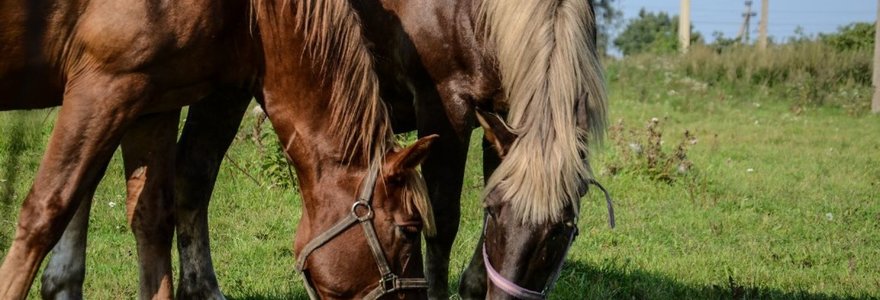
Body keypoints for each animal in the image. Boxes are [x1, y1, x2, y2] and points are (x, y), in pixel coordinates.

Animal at [0, 0, 436, 300]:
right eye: (409, 229)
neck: (252, 13)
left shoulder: (153, 100)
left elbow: (152, 220)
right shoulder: (104, 87)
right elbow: (45, 213)